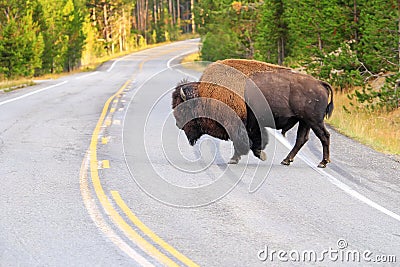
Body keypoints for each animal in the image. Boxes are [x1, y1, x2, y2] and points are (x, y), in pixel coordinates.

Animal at [172, 59, 334, 169]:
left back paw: (322, 163)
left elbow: (242, 141)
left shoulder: (238, 125)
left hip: (314, 121)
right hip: (304, 121)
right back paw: (286, 160)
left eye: (183, 109)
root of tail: (320, 83)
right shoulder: (251, 124)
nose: (178, 124)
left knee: (324, 136)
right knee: (302, 139)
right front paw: (257, 154)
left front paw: (237, 158)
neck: (205, 94)